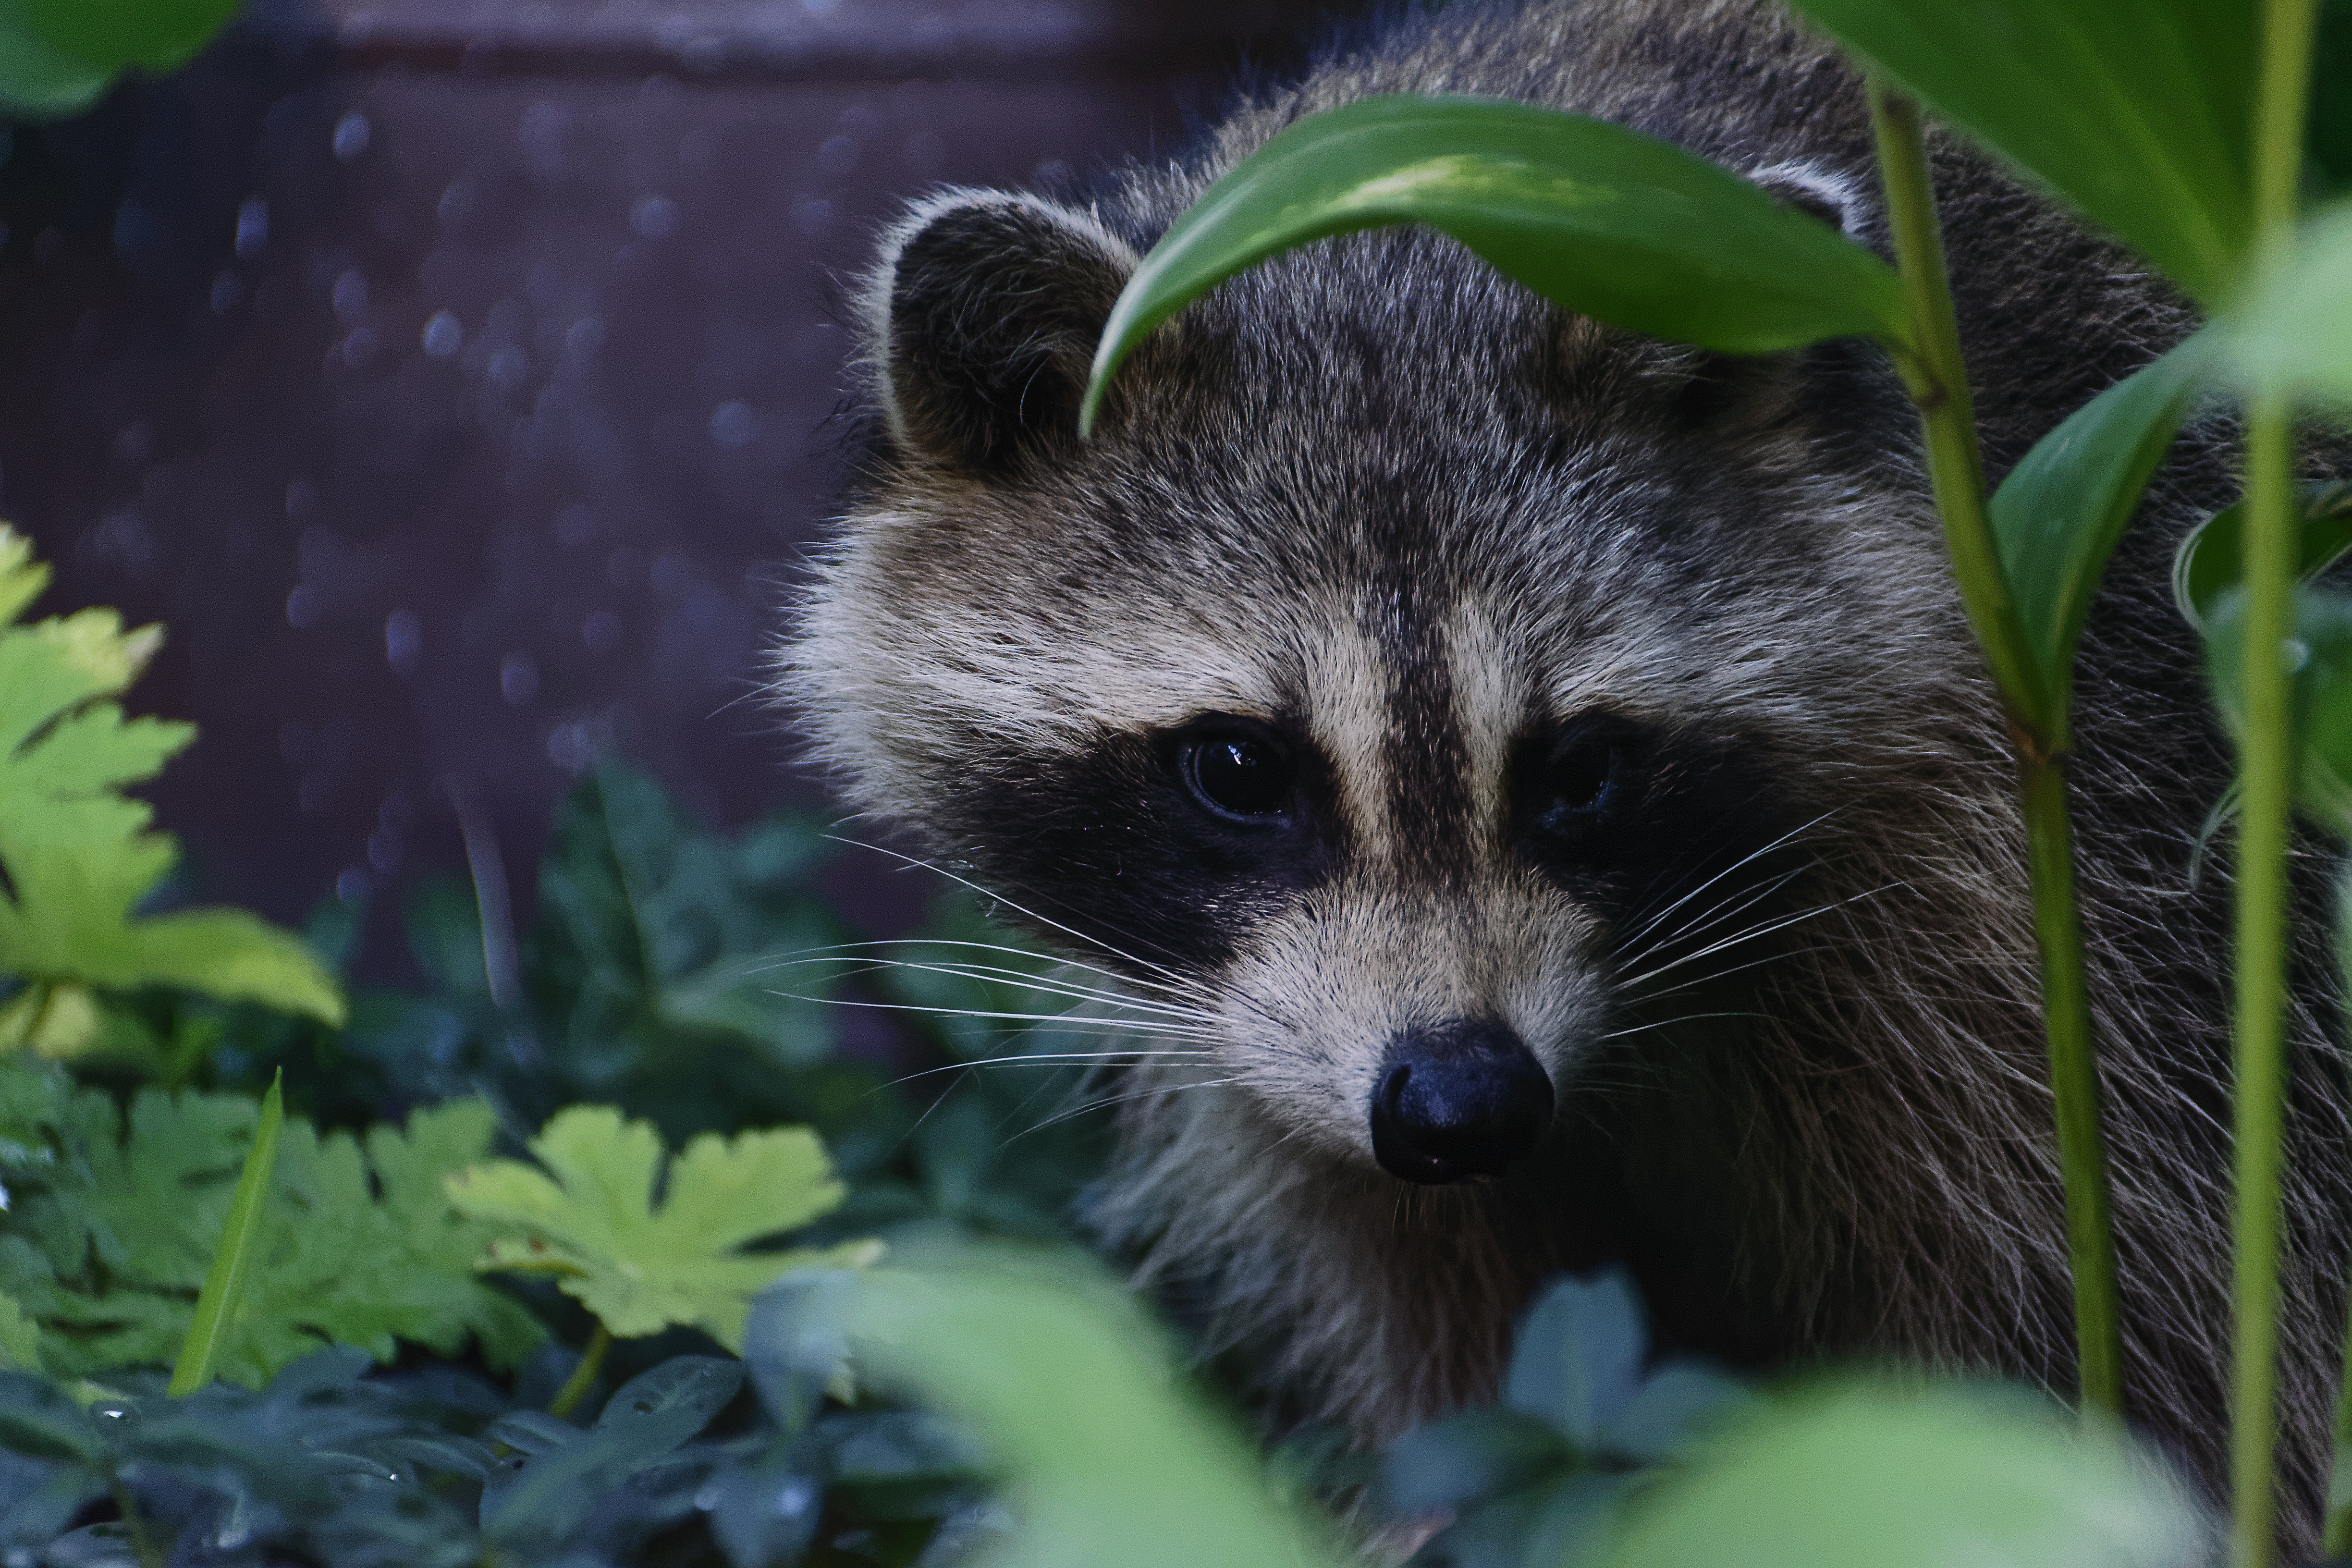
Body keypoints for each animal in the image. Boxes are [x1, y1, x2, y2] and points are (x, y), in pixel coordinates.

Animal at [785, 0, 2352, 1542]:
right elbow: (1451, 1371)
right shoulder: (1297, 1078)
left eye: (1582, 768)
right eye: (1238, 767)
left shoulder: (2080, 894)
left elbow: (2173, 1353)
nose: (1460, 1103)